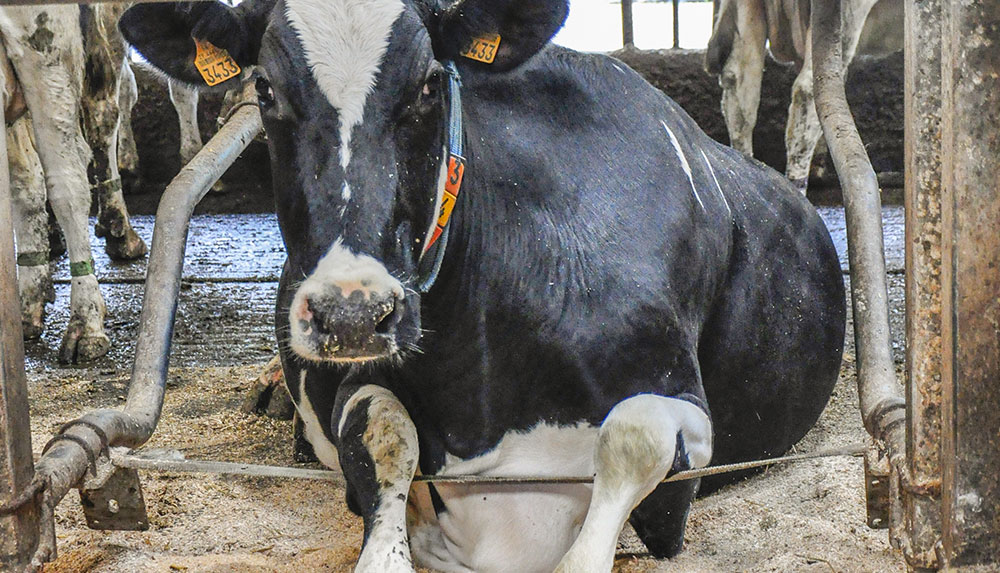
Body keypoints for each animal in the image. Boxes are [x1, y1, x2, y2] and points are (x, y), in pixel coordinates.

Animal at [119, 0, 844, 568]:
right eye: (265, 89)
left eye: (428, 85)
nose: (350, 313)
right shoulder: (362, 382)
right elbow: (385, 433)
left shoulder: (680, 415)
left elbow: (632, 439)